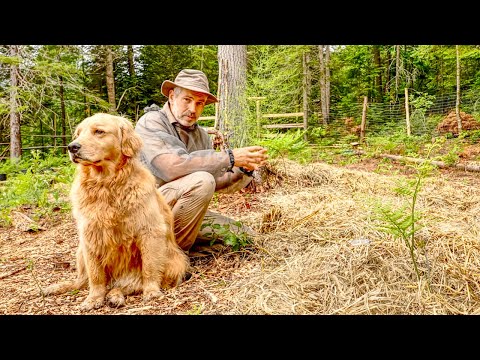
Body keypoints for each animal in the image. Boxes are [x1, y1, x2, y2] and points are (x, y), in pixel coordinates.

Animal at [43, 114, 189, 310]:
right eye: (78, 133)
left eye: (99, 131)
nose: (72, 147)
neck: (106, 185)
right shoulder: (90, 236)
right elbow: (95, 276)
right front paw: (93, 299)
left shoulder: (150, 231)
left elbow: (149, 268)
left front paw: (151, 291)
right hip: (80, 251)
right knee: (82, 281)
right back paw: (57, 287)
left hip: (176, 261)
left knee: (128, 285)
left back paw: (115, 296)